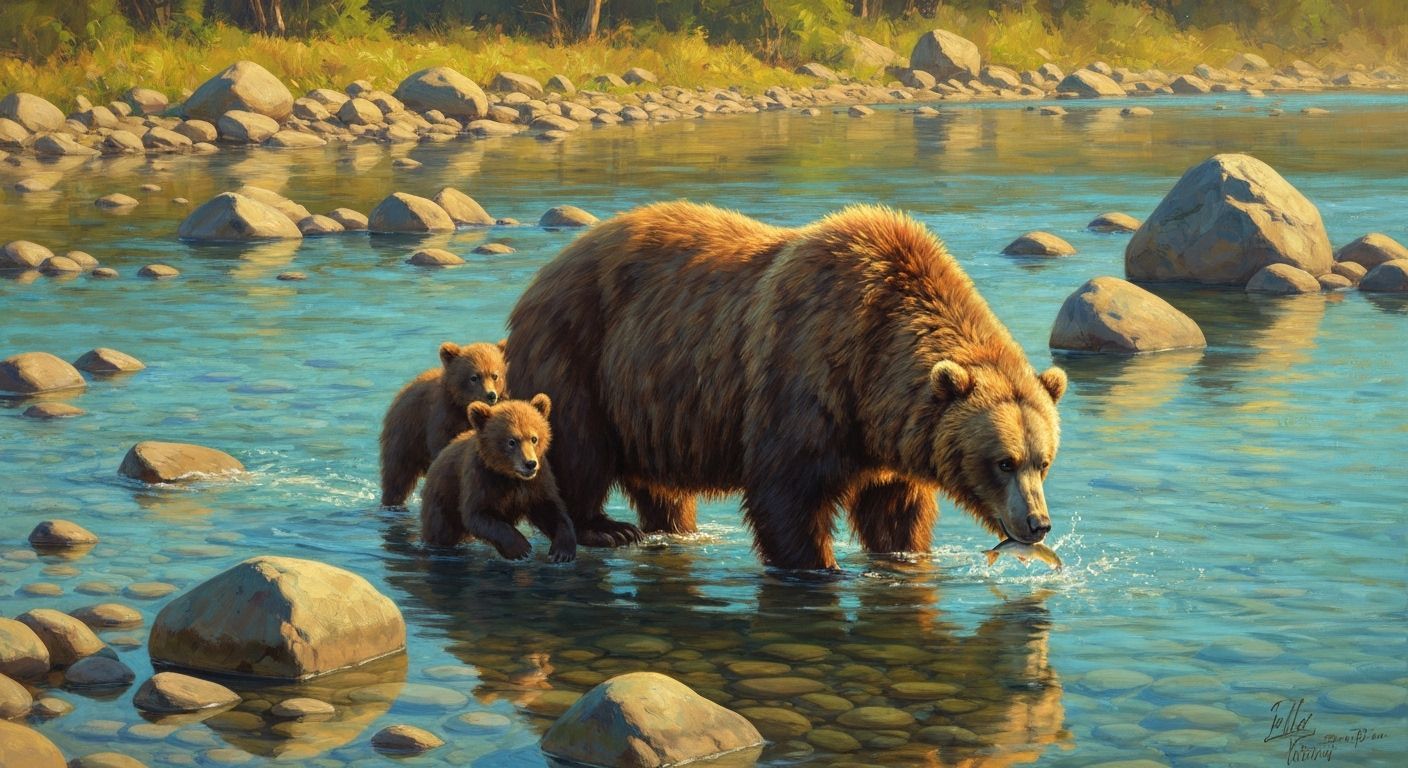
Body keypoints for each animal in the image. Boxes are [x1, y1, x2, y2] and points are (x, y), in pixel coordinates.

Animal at [379, 340, 507, 507]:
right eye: (474, 377)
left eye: (495, 375)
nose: (491, 395)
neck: (463, 407)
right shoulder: (443, 420)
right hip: (406, 434)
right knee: (397, 474)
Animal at [418, 394, 576, 562]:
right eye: (511, 441)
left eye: (534, 438)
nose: (530, 464)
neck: (510, 476)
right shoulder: (481, 478)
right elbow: (477, 514)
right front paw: (520, 548)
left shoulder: (537, 482)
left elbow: (550, 509)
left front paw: (562, 551)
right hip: (442, 501)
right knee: (441, 531)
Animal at [505, 201, 1067, 569]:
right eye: (1003, 461)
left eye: (1043, 461)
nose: (1038, 523)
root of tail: (543, 273)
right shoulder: (804, 372)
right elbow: (788, 496)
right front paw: (819, 566)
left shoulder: (891, 436)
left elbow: (895, 510)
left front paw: (903, 552)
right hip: (580, 352)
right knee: (577, 448)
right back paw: (605, 527)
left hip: (649, 398)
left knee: (660, 485)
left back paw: (674, 528)